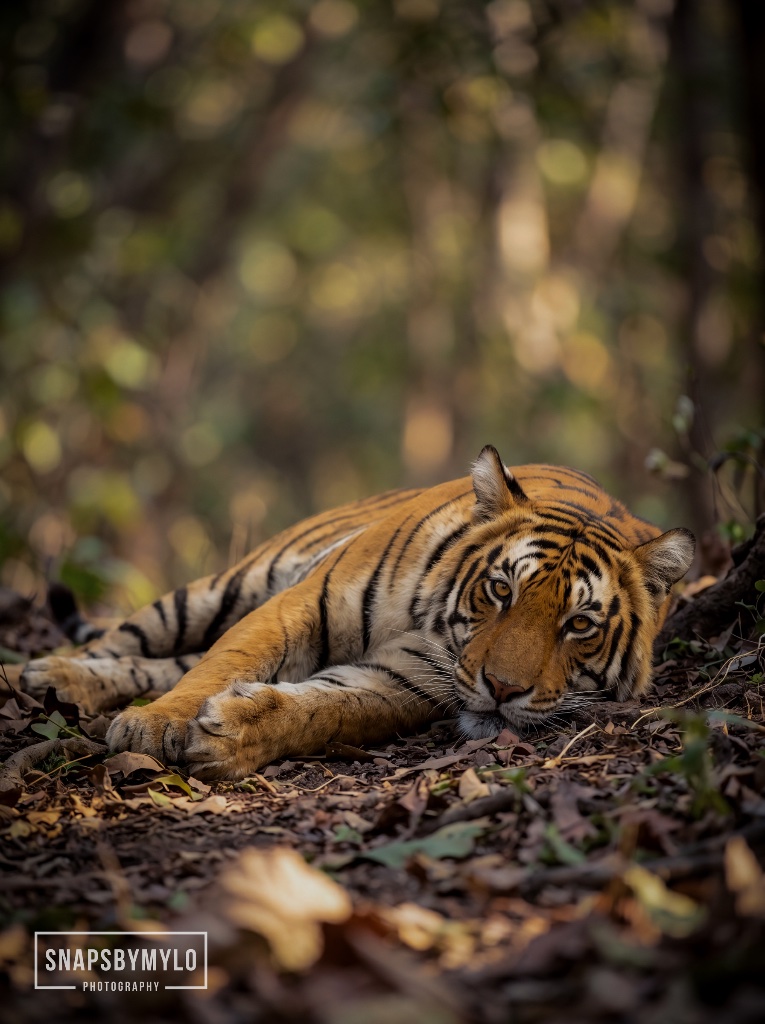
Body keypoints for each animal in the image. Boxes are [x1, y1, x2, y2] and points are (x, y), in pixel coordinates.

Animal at [15, 446, 695, 781]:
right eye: (501, 590)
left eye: (578, 625)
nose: (503, 690)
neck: (428, 617)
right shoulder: (300, 603)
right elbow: (223, 662)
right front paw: (154, 727)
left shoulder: (404, 678)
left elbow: (328, 710)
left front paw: (233, 735)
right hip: (225, 586)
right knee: (122, 642)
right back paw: (40, 676)